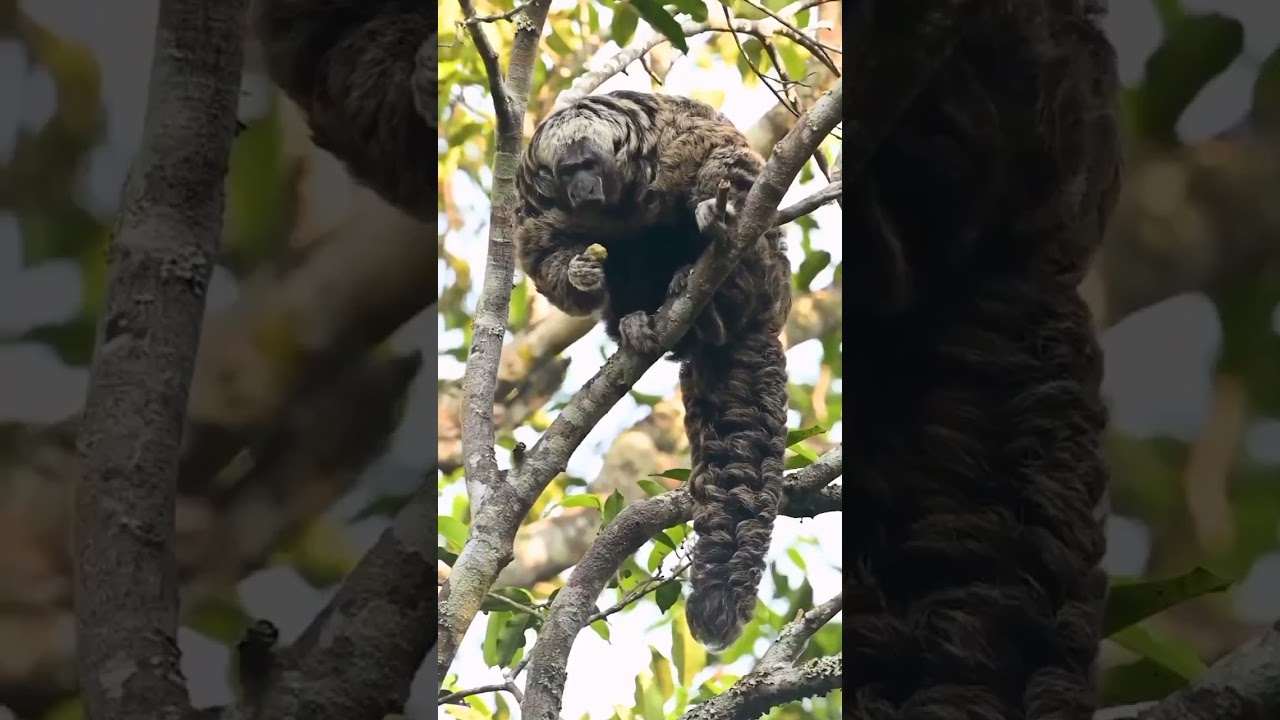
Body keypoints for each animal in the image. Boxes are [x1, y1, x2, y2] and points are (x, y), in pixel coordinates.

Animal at [514, 90, 793, 650]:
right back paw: (641, 322)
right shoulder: (536, 201)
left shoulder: (675, 140)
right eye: (567, 171)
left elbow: (726, 160)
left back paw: (707, 293)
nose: (581, 188)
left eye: (589, 164)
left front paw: (713, 209)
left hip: (766, 279)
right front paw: (580, 273)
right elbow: (545, 256)